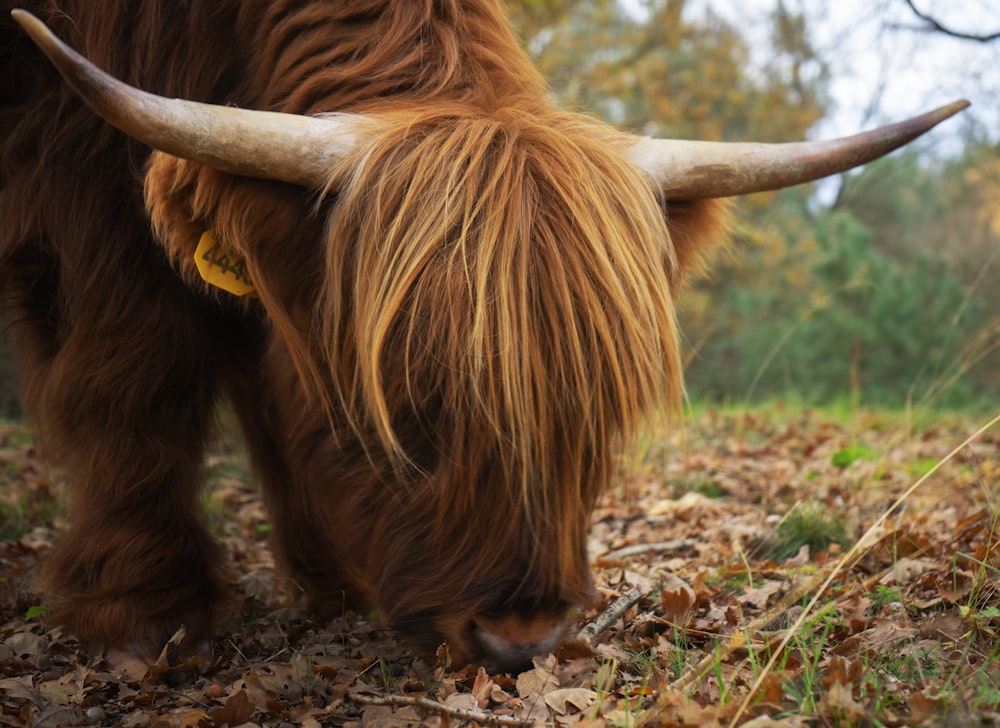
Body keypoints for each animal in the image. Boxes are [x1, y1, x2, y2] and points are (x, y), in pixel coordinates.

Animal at [1, 1, 968, 672]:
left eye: (597, 410)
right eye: (408, 403)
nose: (518, 637)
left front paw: (330, 580)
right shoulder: (78, 177)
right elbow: (140, 371)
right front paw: (148, 607)